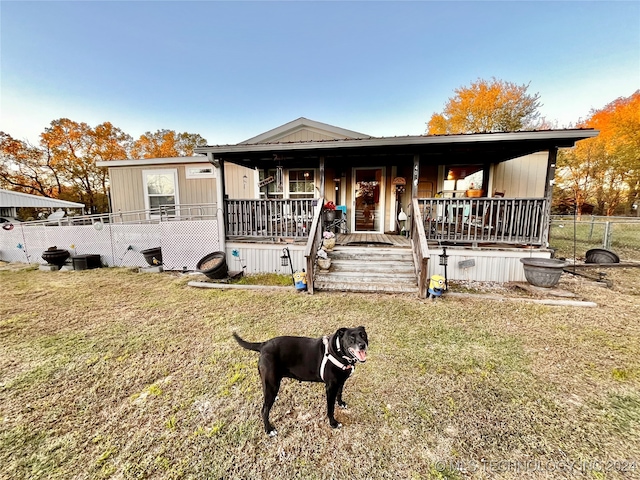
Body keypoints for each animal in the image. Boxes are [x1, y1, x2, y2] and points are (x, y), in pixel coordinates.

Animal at [234, 326, 364, 436]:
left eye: (363, 335)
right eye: (351, 337)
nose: (362, 345)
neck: (338, 351)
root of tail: (263, 345)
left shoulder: (341, 382)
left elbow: (339, 393)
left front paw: (341, 403)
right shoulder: (330, 388)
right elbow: (330, 409)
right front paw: (333, 423)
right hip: (272, 384)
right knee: (264, 410)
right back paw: (269, 430)